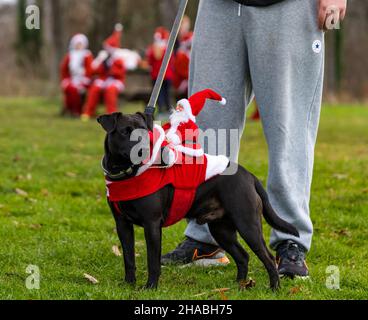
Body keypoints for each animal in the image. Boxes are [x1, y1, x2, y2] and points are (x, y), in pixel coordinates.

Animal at [98, 112, 300, 290]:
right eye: (125, 131)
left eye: (145, 132)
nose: (144, 150)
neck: (126, 174)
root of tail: (248, 175)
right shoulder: (122, 225)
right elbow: (128, 258)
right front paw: (128, 284)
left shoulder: (152, 224)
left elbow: (152, 261)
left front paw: (150, 287)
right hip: (221, 230)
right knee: (242, 256)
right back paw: (239, 285)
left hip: (247, 224)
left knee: (268, 257)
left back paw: (274, 288)